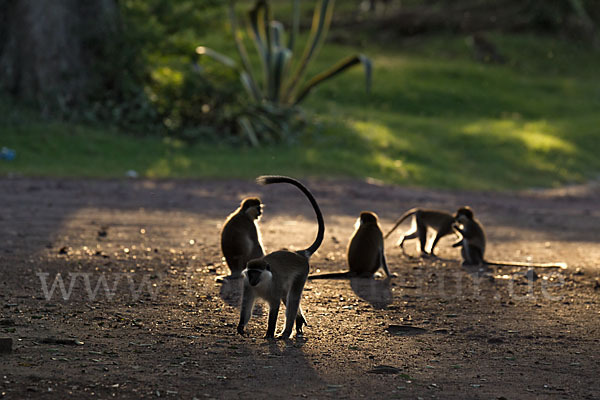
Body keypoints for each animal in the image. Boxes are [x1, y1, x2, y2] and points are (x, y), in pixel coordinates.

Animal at [237, 177, 326, 340]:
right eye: (251, 273)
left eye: (257, 273)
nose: (253, 280)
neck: (263, 282)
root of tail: (299, 253)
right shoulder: (247, 285)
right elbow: (246, 305)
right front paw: (240, 328)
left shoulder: (274, 287)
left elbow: (275, 307)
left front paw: (269, 334)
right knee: (287, 297)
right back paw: (298, 321)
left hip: (302, 273)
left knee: (293, 298)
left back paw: (286, 332)